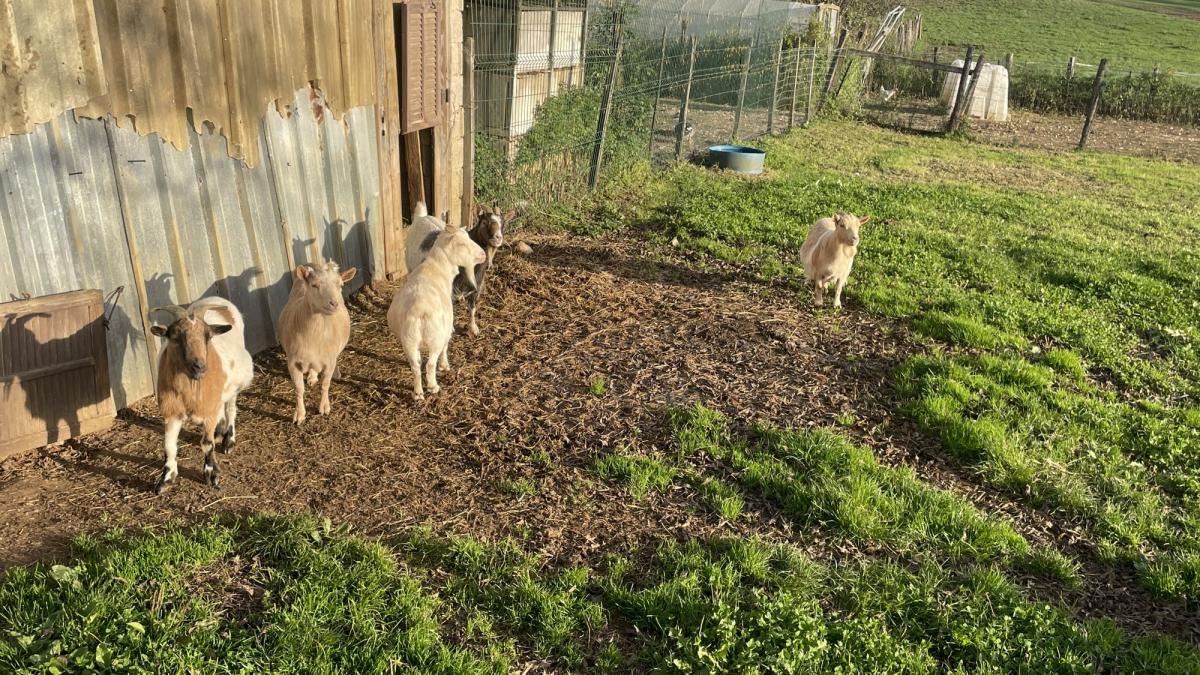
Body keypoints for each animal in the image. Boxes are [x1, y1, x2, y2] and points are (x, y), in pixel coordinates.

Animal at [150, 297, 253, 494]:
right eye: (175, 336)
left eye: (208, 336)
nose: (199, 366)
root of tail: (217, 298)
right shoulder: (172, 412)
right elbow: (169, 445)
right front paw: (166, 479)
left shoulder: (209, 413)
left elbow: (207, 443)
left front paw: (212, 474)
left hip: (234, 386)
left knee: (230, 409)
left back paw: (228, 440)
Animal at [278, 261, 357, 425]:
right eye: (314, 285)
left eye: (340, 285)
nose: (334, 303)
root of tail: (313, 263)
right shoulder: (292, 362)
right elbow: (298, 389)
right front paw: (299, 415)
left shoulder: (329, 360)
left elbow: (325, 385)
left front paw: (324, 407)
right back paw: (312, 377)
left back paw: (335, 373)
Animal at [388, 213, 486, 400]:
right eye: (462, 244)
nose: (483, 255)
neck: (436, 266)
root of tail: (419, 312)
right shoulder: (446, 328)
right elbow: (446, 347)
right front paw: (445, 365)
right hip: (435, 338)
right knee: (430, 364)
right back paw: (433, 386)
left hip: (409, 340)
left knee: (416, 366)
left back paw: (418, 393)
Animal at [406, 201, 510, 336]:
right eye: (484, 222)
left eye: (503, 224)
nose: (498, 238)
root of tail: (421, 216)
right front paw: (451, 330)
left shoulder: (476, 289)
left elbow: (472, 308)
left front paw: (473, 328)